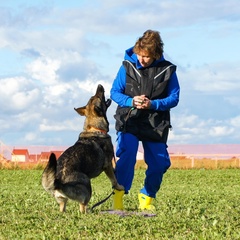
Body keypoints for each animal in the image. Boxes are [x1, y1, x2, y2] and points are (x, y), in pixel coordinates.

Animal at [41, 84, 124, 214]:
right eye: (99, 96)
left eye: (94, 96)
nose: (100, 85)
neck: (94, 128)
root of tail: (58, 182)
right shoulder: (108, 165)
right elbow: (114, 179)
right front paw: (119, 186)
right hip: (87, 183)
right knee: (82, 207)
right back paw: (88, 212)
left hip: (62, 200)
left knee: (63, 208)